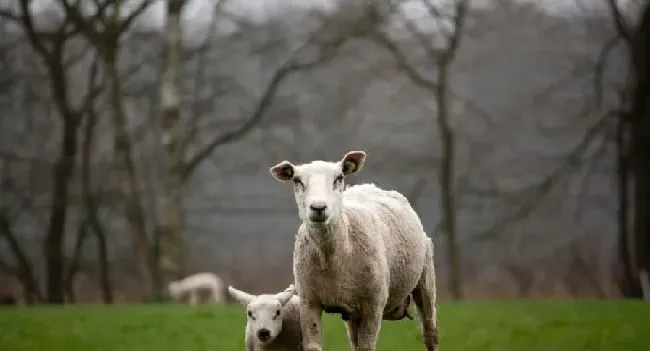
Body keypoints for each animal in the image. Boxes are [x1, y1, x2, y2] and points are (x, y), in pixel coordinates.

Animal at [266, 151, 438, 351]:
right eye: (297, 180)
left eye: (339, 178)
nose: (318, 208)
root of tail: (371, 186)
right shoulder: (308, 302)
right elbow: (314, 346)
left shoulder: (374, 305)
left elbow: (366, 347)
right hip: (352, 311)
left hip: (425, 279)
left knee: (430, 331)